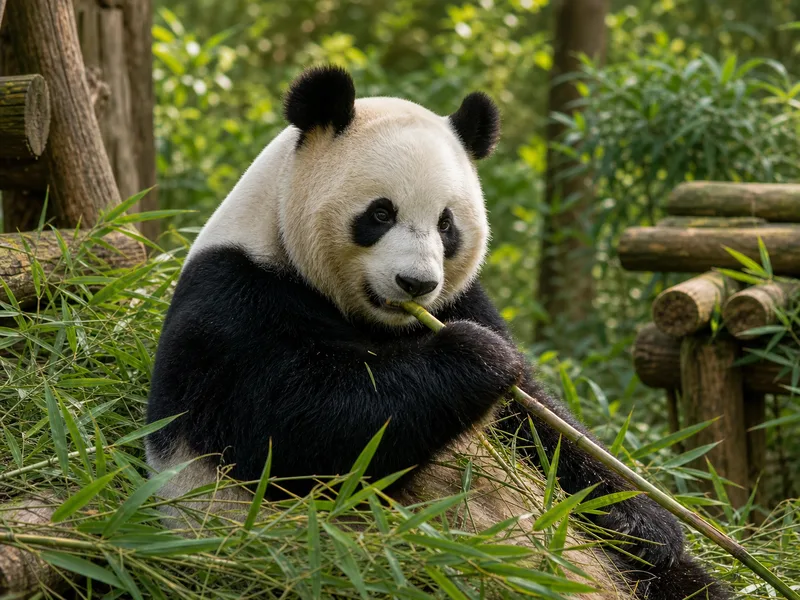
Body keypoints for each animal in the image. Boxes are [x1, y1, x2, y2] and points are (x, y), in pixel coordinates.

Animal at [146, 66, 731, 600]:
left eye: (447, 224)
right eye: (380, 213)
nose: (416, 283)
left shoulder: (461, 299)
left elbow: (543, 427)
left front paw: (647, 523)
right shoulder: (233, 303)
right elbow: (296, 432)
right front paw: (478, 355)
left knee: (680, 582)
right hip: (328, 565)